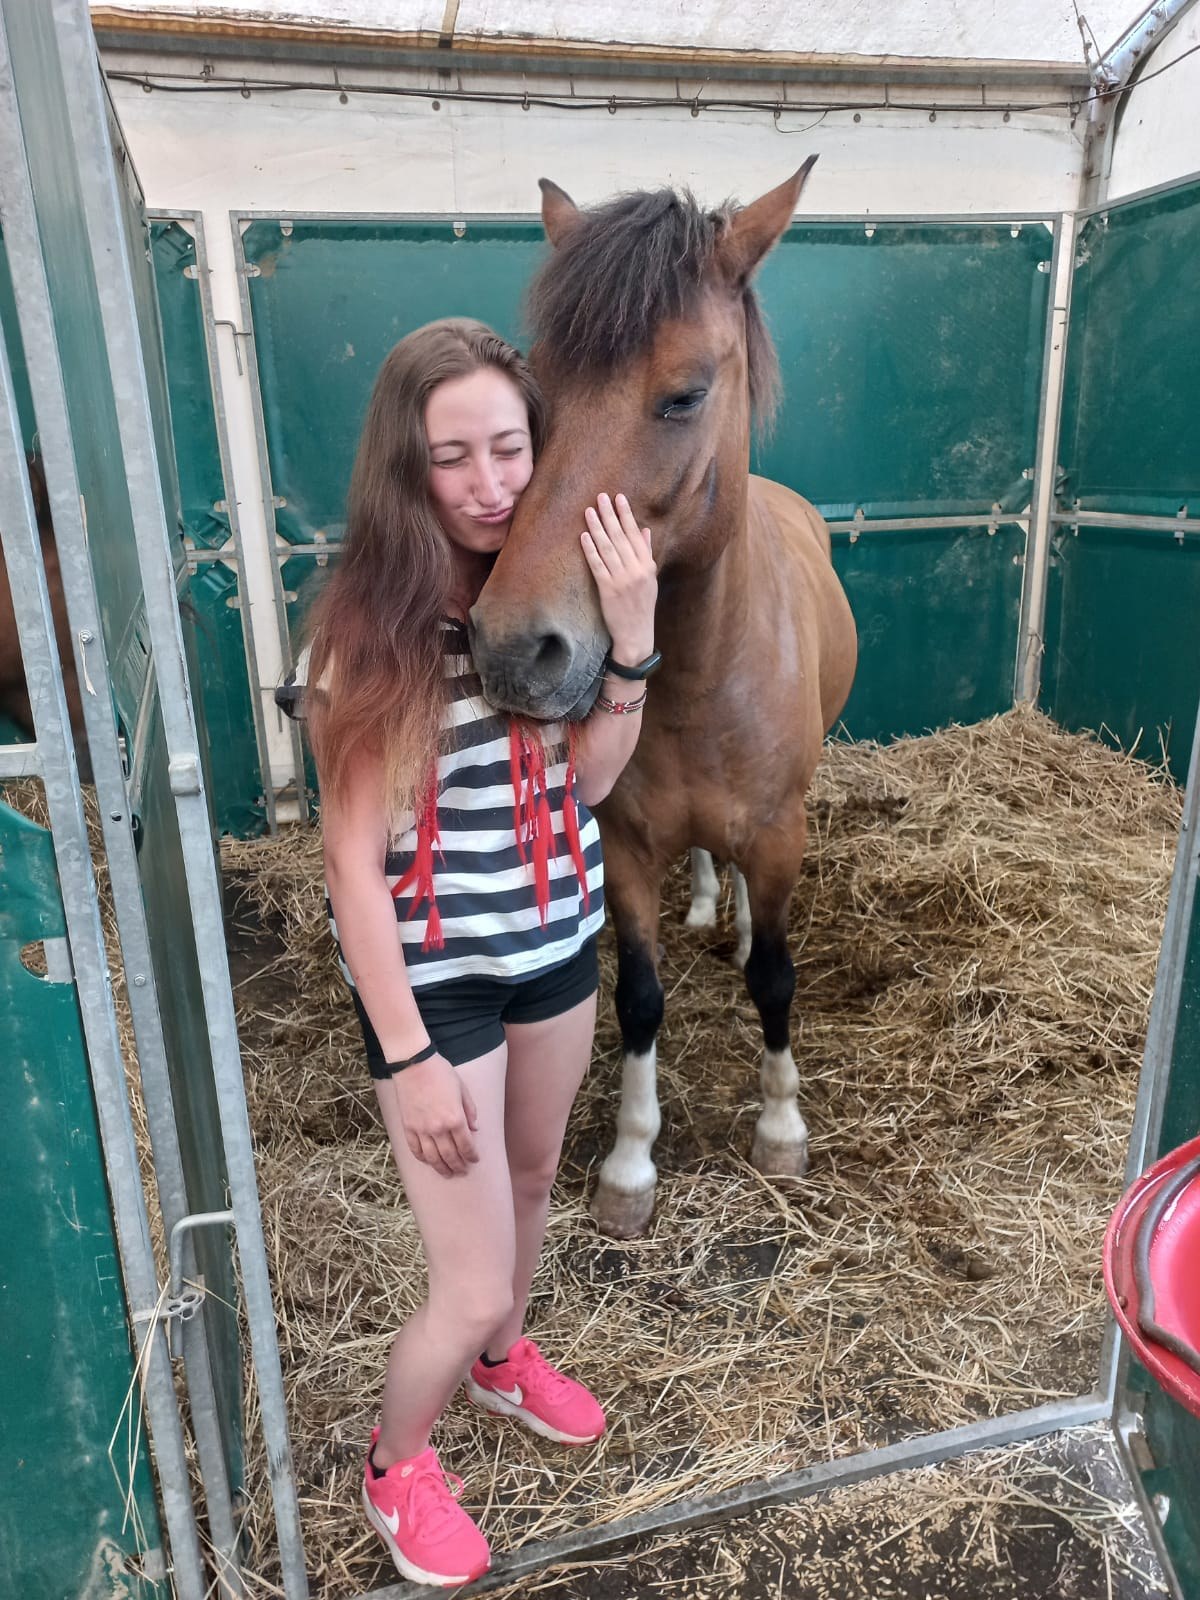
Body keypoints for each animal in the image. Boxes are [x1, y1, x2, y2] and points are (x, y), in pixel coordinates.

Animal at [469, 164, 858, 1237]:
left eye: (684, 395)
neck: (698, 678)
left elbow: (776, 977)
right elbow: (638, 997)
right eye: (538, 404)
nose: (513, 649)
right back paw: (709, 904)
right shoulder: (630, 845)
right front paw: (630, 1165)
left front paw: (780, 1129)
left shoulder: (778, 830)